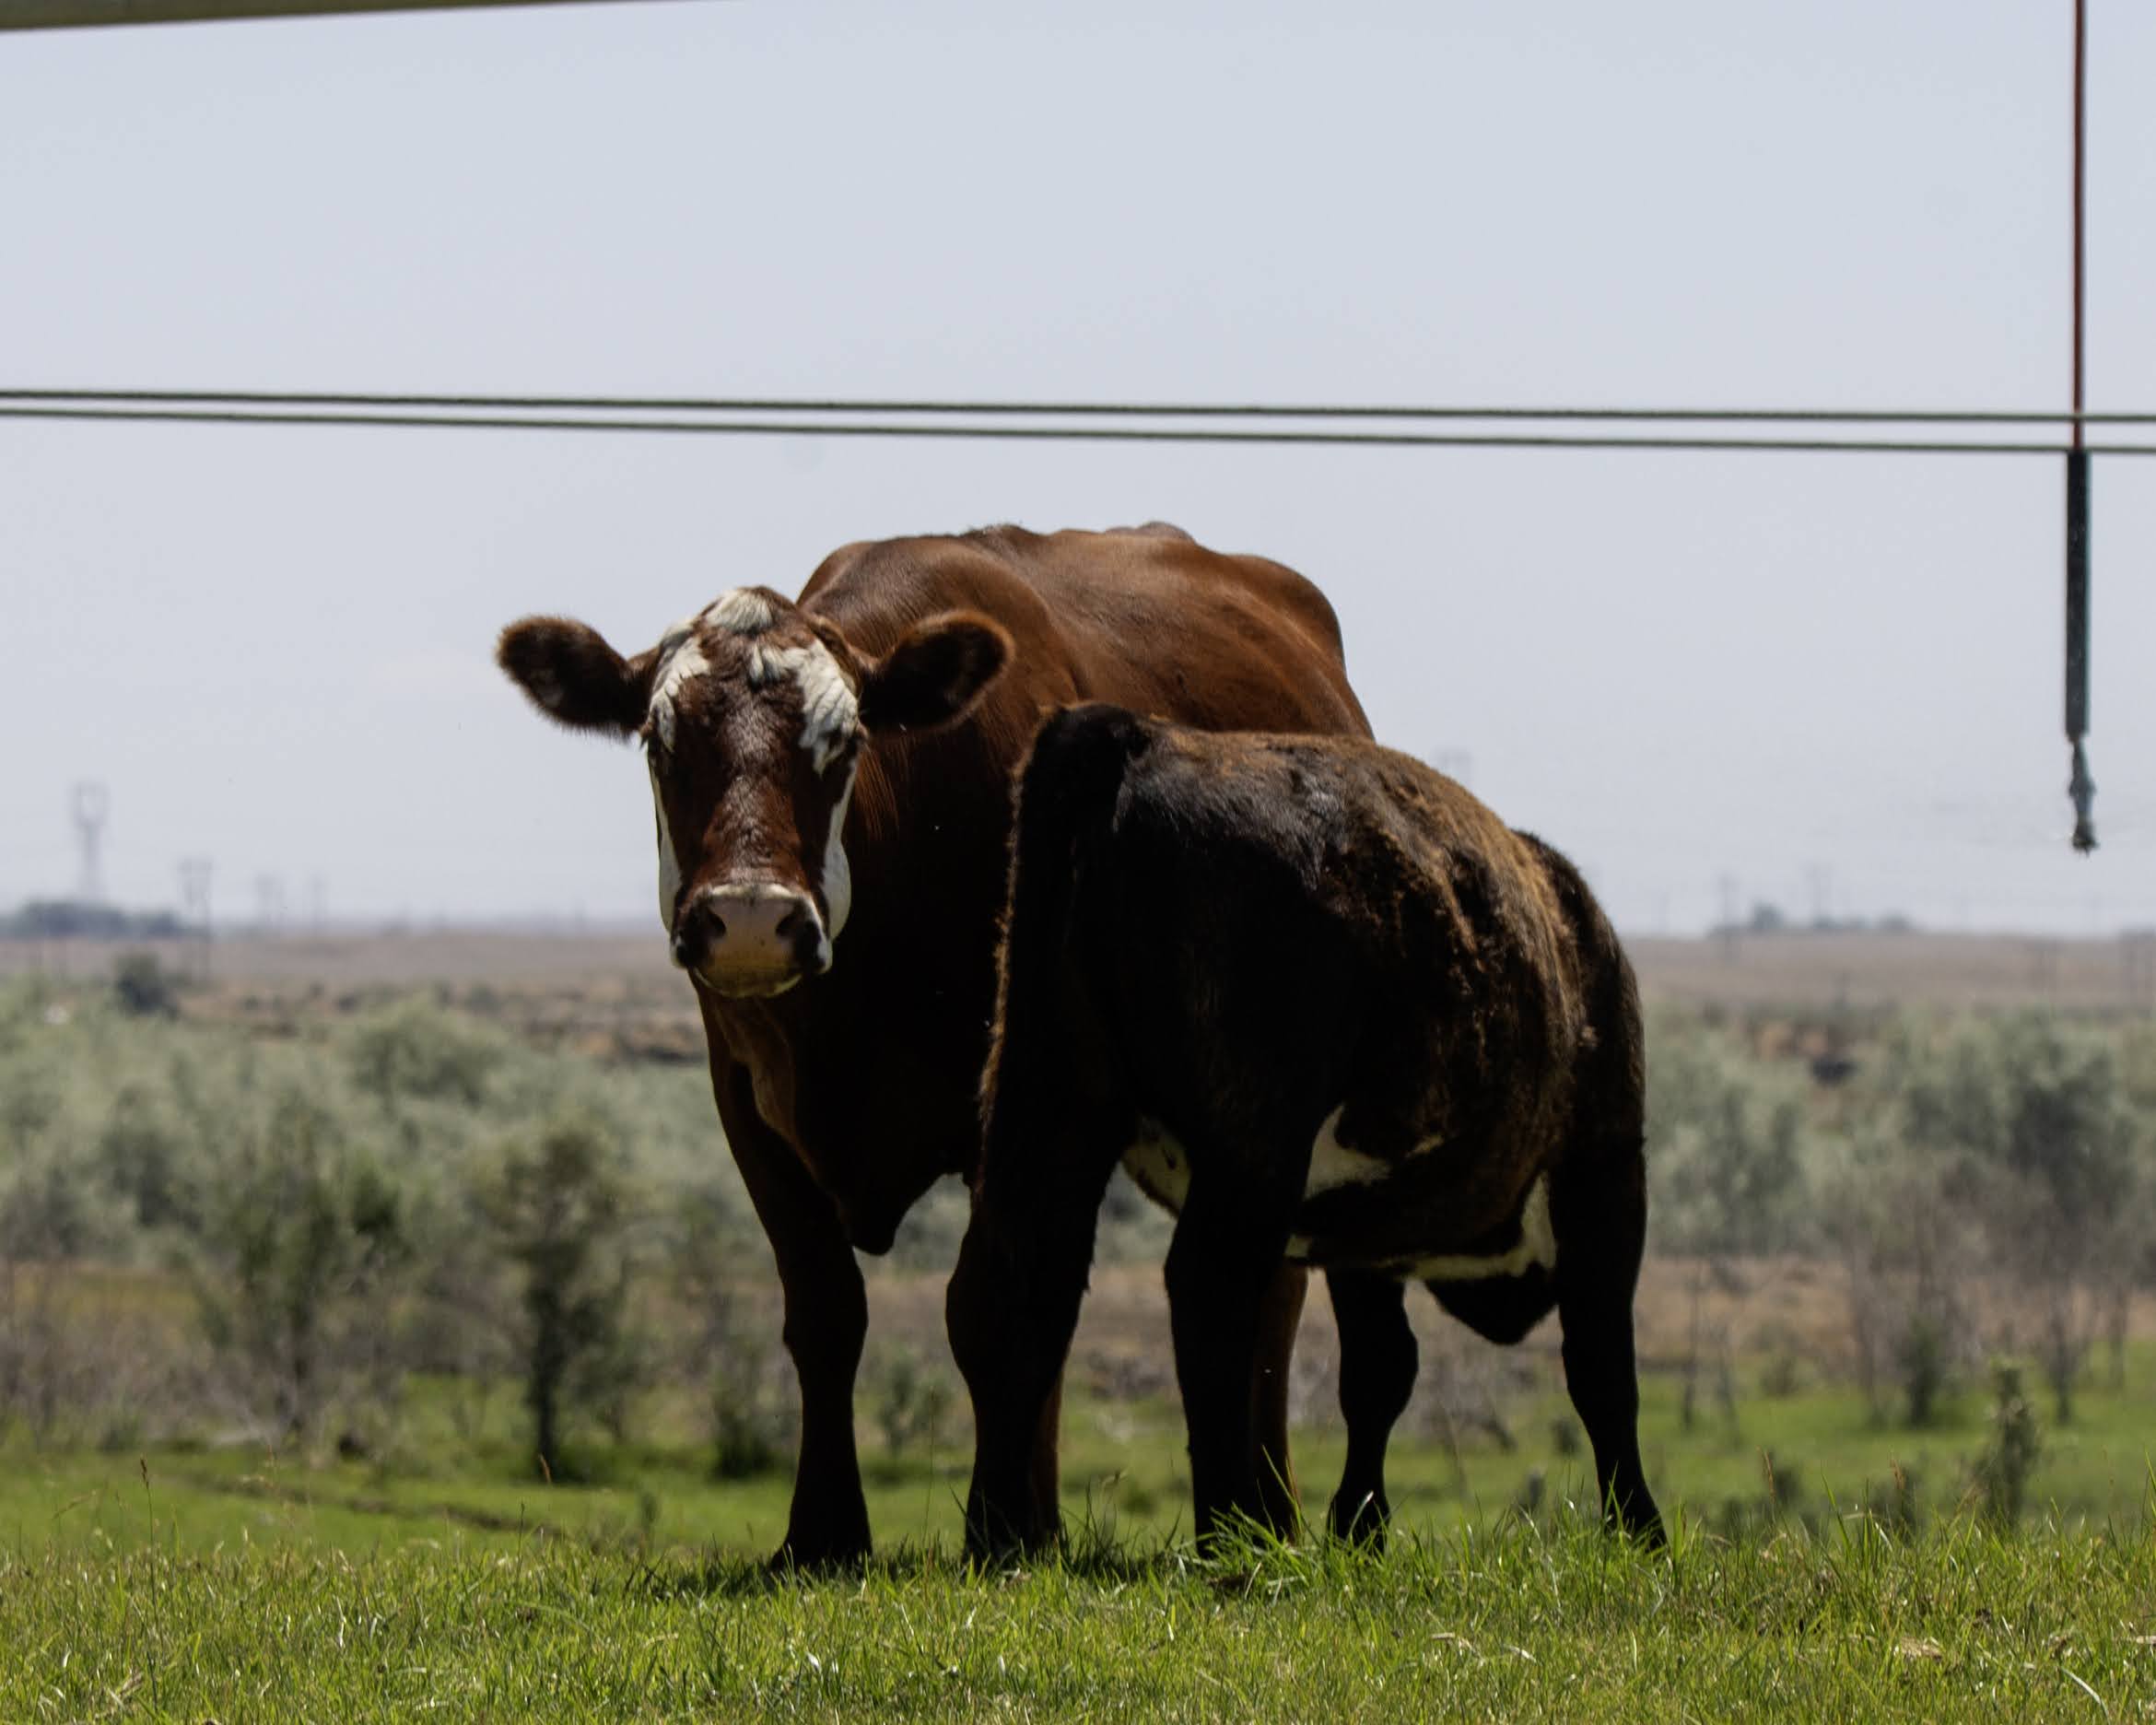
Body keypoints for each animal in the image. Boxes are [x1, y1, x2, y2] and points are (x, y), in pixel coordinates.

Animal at [494, 524, 1373, 1565]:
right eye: (660, 744)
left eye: (842, 745)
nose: (749, 919)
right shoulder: (745, 1099)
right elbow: (827, 1310)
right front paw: (825, 1532)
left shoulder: (1016, 1095)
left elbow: (990, 1306)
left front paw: (996, 1528)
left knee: (1268, 1297)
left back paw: (1258, 1518)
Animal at [948, 704, 1663, 1555]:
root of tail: (1136, 738)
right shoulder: (1606, 1167)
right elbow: (1602, 1369)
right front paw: (1642, 1529)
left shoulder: (1364, 1229)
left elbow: (1380, 1372)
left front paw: (1360, 1525)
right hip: (1252, 1150)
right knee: (1208, 1293)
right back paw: (1232, 1527)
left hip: (1052, 1099)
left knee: (1022, 1278)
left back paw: (1001, 1533)